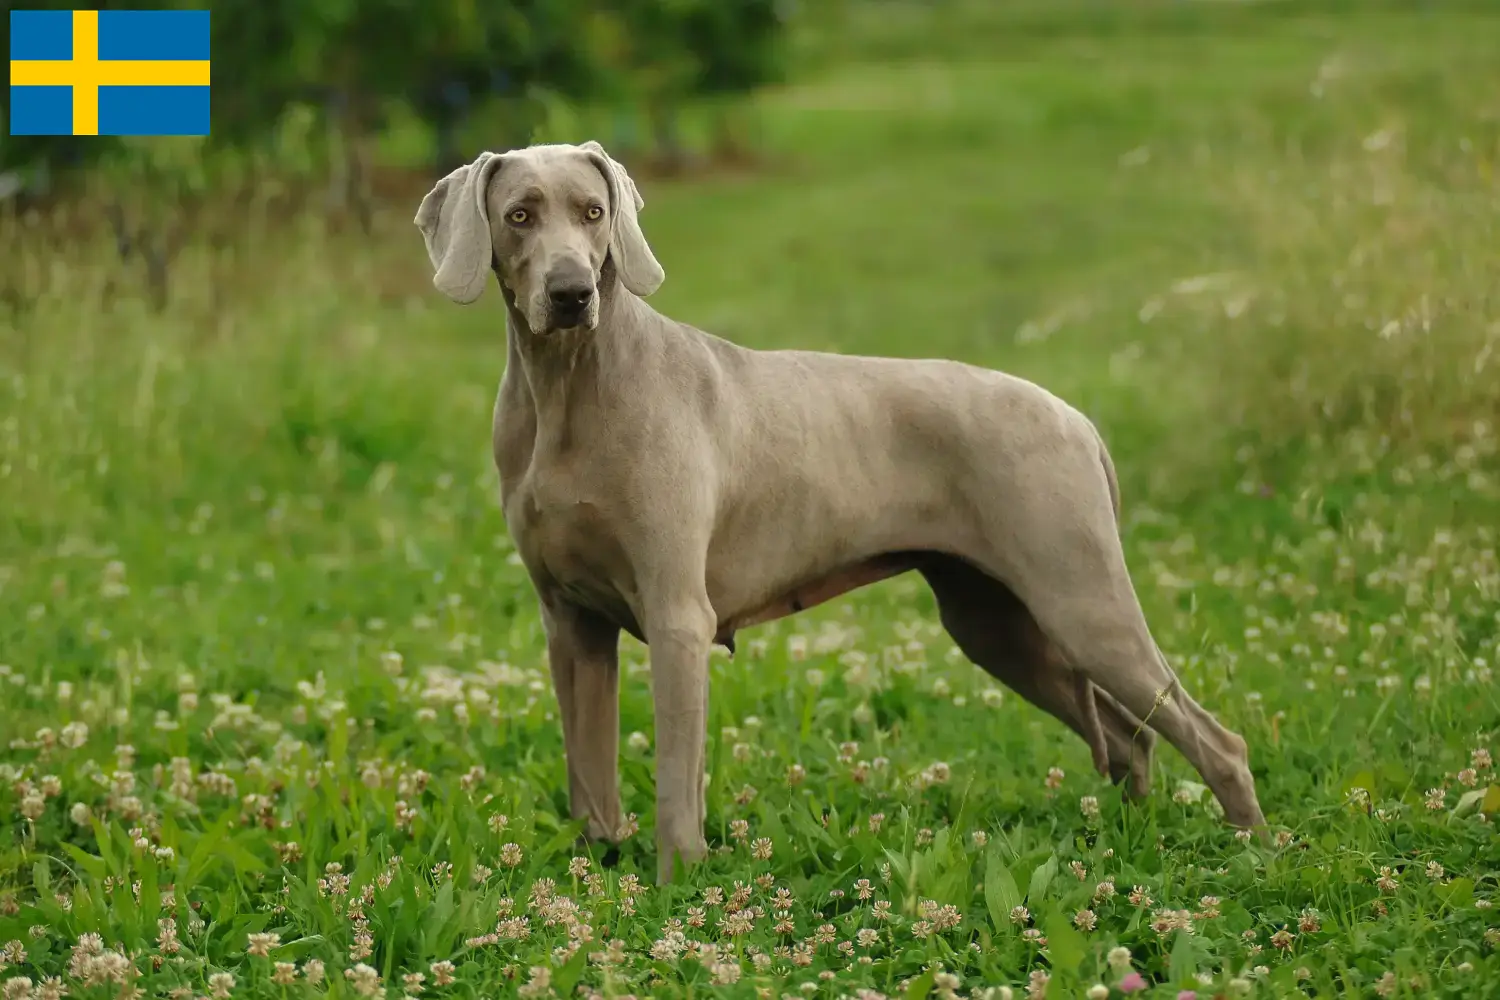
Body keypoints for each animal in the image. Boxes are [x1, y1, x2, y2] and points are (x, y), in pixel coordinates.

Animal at [417, 142, 1272, 881]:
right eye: (520, 215)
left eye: (594, 212)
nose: (571, 294)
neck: (569, 387)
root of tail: (1077, 419)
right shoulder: (572, 625)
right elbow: (589, 776)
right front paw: (601, 881)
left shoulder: (676, 615)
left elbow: (673, 782)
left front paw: (676, 891)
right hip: (996, 622)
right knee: (1129, 739)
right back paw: (1128, 840)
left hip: (1078, 598)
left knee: (1213, 738)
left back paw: (1252, 852)